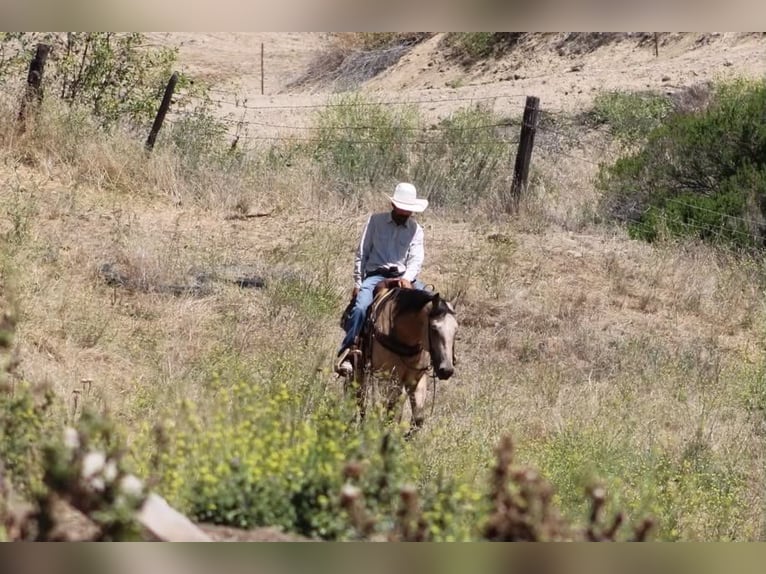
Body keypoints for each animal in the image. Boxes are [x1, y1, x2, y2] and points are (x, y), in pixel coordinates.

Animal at [344, 286, 458, 435]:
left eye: (456, 330)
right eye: (434, 328)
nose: (446, 370)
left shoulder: (416, 379)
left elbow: (417, 418)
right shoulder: (389, 378)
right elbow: (390, 411)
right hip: (360, 370)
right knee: (358, 397)